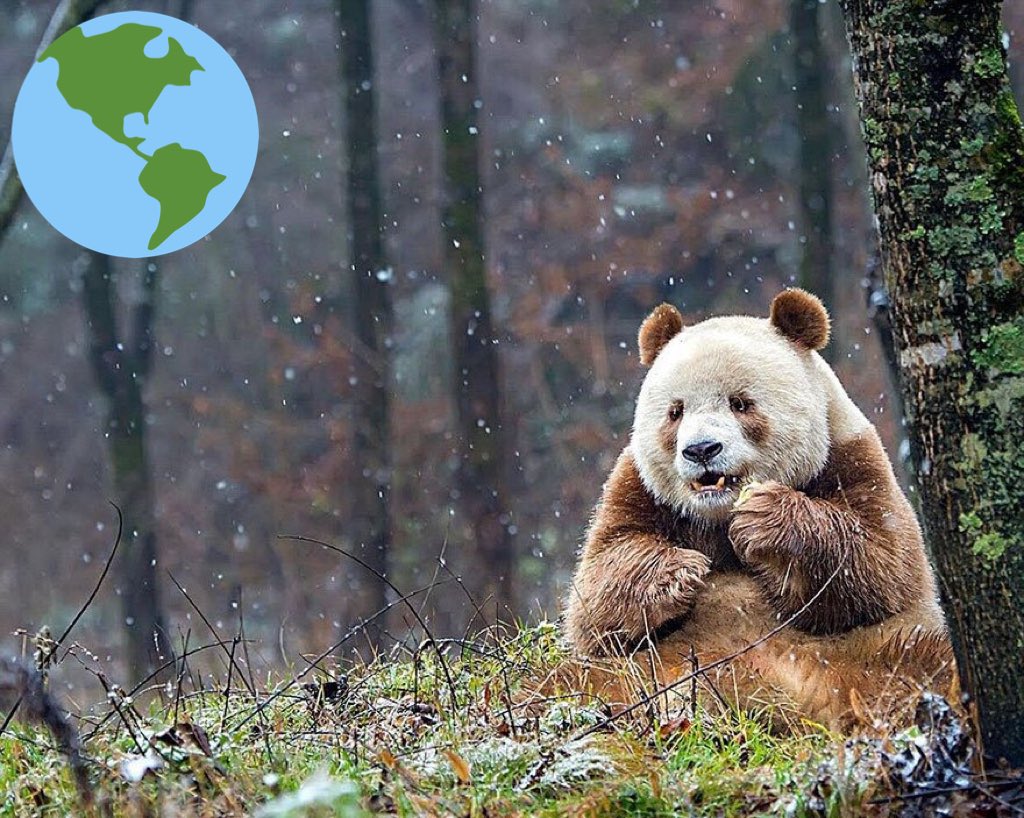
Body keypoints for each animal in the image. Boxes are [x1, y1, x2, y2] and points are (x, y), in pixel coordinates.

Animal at [561, 289, 954, 729]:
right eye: (675, 411)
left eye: (741, 403)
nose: (701, 450)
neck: (717, 515)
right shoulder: (639, 487)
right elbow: (597, 593)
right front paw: (680, 572)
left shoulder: (851, 459)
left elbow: (879, 565)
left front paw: (765, 520)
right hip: (637, 670)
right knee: (566, 681)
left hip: (870, 652)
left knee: (925, 663)